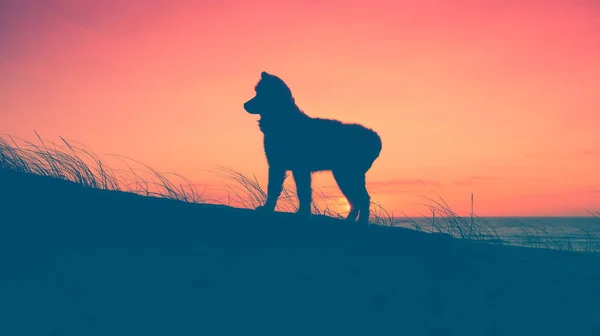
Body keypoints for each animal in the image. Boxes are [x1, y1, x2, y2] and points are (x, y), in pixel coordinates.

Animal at [245, 72, 382, 224]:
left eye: (261, 94)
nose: (245, 104)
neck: (283, 120)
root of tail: (375, 138)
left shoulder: (297, 168)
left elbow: (301, 192)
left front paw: (302, 214)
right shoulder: (279, 165)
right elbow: (275, 189)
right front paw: (269, 208)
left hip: (348, 173)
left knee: (363, 199)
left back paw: (362, 222)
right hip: (344, 174)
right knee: (356, 200)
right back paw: (350, 220)